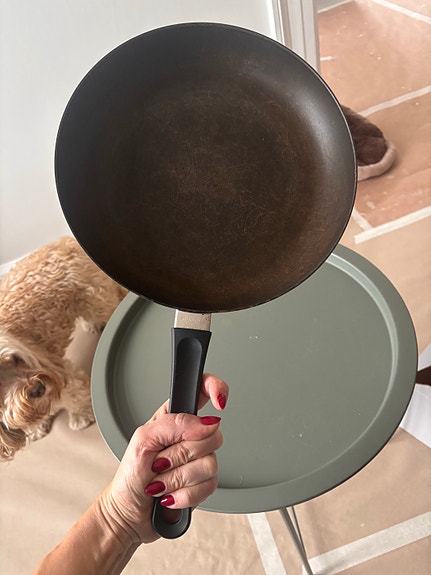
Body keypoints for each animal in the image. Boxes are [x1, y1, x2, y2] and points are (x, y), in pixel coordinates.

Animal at [0, 236, 128, 461]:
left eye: (14, 360)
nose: (37, 388)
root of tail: (67, 239)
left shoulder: (57, 371)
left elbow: (74, 393)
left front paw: (80, 415)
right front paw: (37, 427)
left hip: (97, 300)